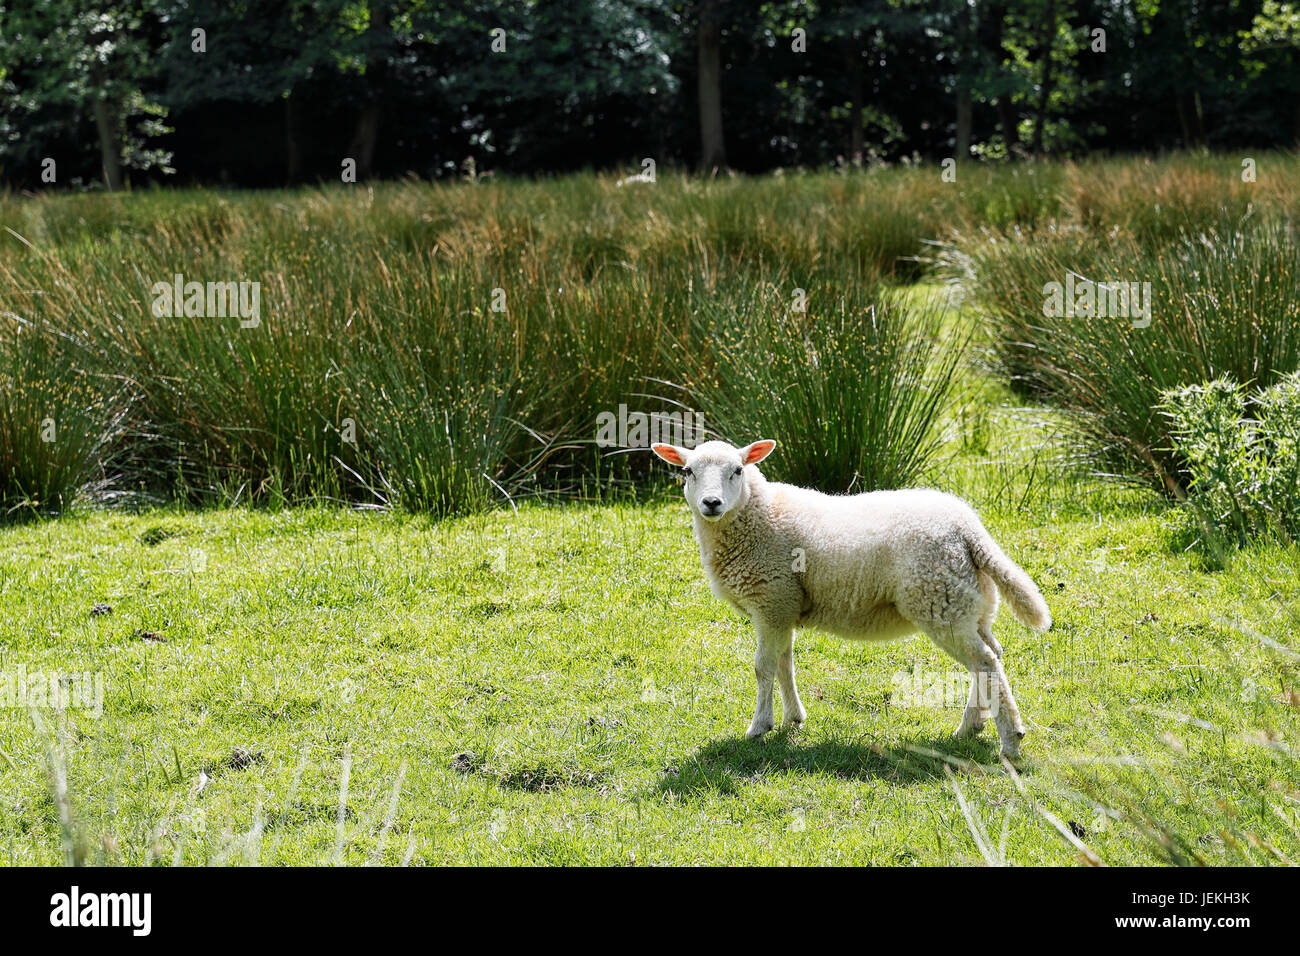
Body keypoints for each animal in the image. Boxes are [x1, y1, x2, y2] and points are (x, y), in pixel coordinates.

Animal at [655, 437, 1050, 759]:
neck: (758, 515)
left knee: (985, 662)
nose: (711, 503)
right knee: (991, 655)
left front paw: (758, 728)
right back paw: (971, 726)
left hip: (939, 602)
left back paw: (1010, 739)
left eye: (737, 470)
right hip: (969, 604)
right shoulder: (783, 605)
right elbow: (785, 664)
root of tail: (970, 530)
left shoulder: (770, 600)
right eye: (687, 471)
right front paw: (792, 719)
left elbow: (762, 667)